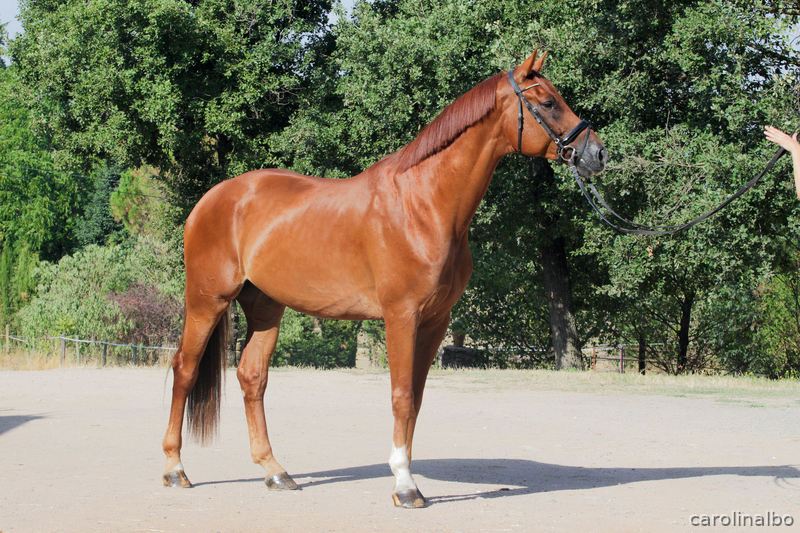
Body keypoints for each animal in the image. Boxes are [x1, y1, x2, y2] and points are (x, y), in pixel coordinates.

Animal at [161, 49, 607, 508]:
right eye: (549, 102)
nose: (597, 154)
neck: (423, 204)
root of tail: (212, 200)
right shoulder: (401, 316)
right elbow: (401, 396)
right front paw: (405, 485)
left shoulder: (436, 322)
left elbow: (417, 398)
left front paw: (405, 473)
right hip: (207, 301)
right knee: (185, 370)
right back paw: (176, 469)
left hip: (265, 306)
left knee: (252, 376)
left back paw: (275, 472)